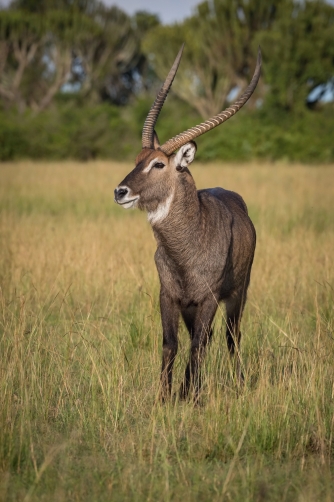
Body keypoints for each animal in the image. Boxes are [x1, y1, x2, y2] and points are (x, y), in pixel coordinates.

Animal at [115, 46, 260, 400]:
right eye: (137, 160)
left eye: (158, 164)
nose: (120, 191)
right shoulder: (168, 296)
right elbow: (170, 344)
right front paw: (165, 397)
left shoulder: (208, 298)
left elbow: (197, 346)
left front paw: (191, 397)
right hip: (191, 306)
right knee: (205, 338)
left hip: (237, 294)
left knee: (230, 337)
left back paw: (236, 383)